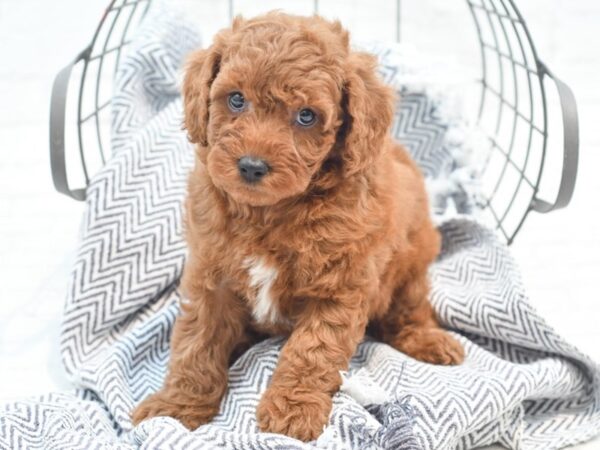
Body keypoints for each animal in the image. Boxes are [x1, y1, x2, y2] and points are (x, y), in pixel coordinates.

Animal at [134, 12, 466, 442]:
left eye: (306, 115)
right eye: (236, 99)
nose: (251, 166)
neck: (269, 212)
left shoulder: (338, 287)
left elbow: (312, 350)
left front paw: (291, 411)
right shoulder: (210, 276)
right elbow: (197, 342)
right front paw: (177, 408)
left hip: (412, 263)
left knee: (409, 311)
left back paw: (429, 340)